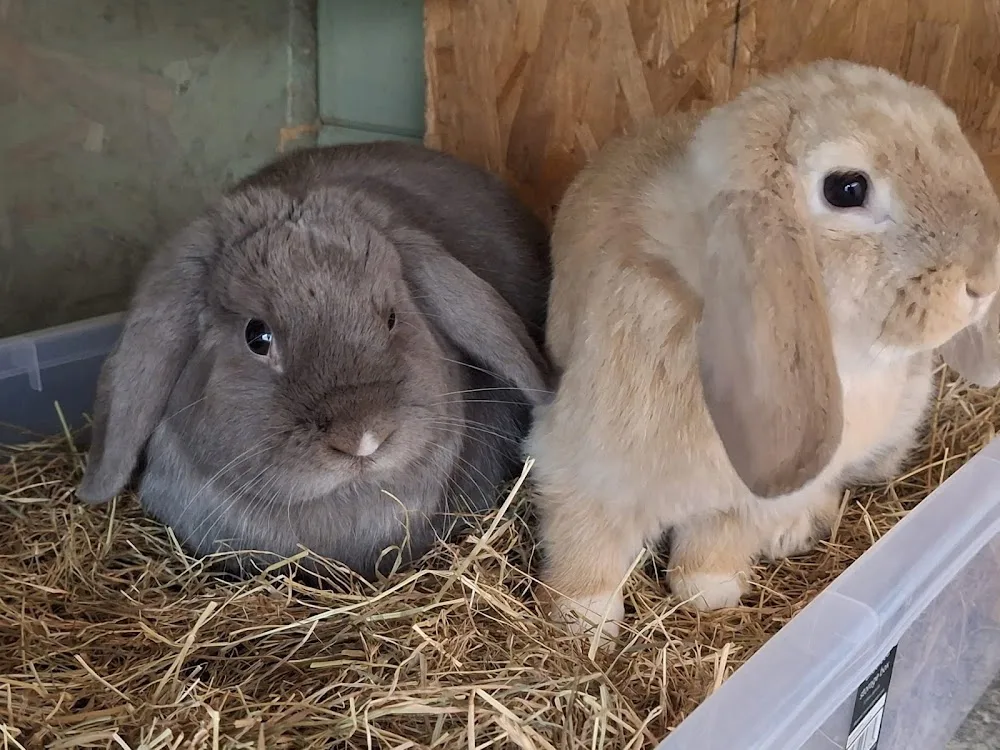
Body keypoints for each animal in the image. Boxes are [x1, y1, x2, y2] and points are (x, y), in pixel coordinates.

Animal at [524, 59, 1000, 641]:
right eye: (847, 188)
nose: (983, 281)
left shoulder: (745, 499)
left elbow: (715, 549)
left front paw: (711, 592)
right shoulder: (582, 464)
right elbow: (586, 535)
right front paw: (583, 618)